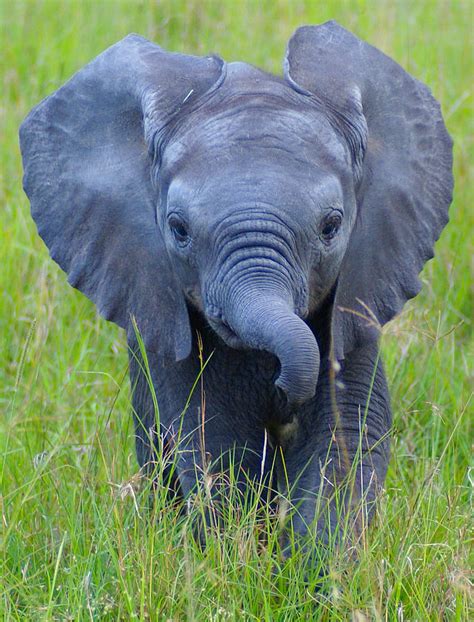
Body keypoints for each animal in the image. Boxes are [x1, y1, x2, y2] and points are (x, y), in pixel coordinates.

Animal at [21, 23, 452, 560]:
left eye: (332, 227)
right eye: (178, 230)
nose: (283, 391)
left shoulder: (359, 295)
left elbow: (345, 435)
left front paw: (310, 574)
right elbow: (218, 442)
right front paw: (238, 562)